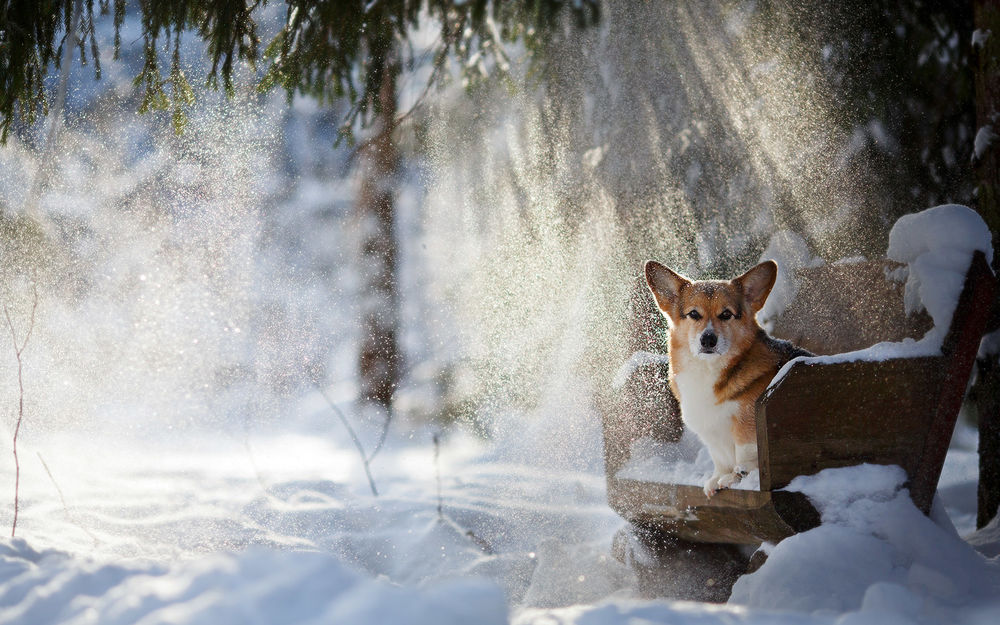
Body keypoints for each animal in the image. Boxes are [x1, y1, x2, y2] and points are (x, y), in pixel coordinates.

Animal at [640, 260, 812, 498]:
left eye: (726, 314)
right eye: (694, 314)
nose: (708, 340)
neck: (707, 369)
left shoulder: (747, 420)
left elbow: (745, 450)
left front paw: (737, 475)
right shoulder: (712, 435)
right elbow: (719, 458)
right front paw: (717, 478)